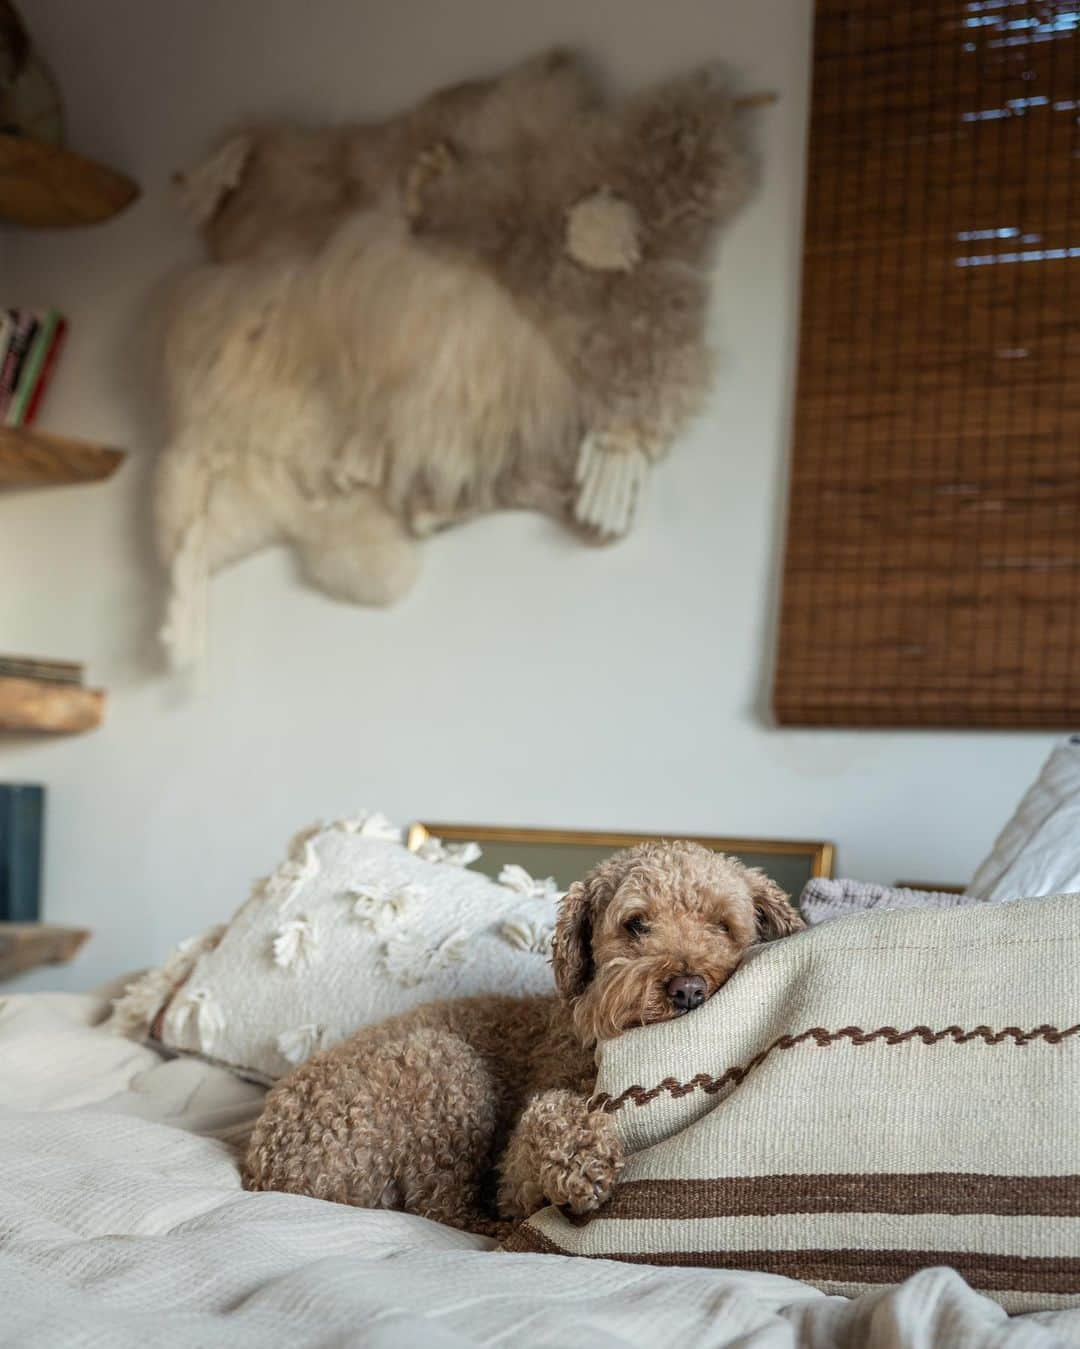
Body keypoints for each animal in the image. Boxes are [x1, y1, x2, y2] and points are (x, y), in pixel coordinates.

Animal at [242, 841, 798, 1235]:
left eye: (722, 926)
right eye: (636, 924)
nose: (687, 989)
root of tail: (264, 1169)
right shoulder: (514, 1180)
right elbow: (546, 1113)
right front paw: (582, 1158)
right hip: (441, 1063)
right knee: (440, 1205)